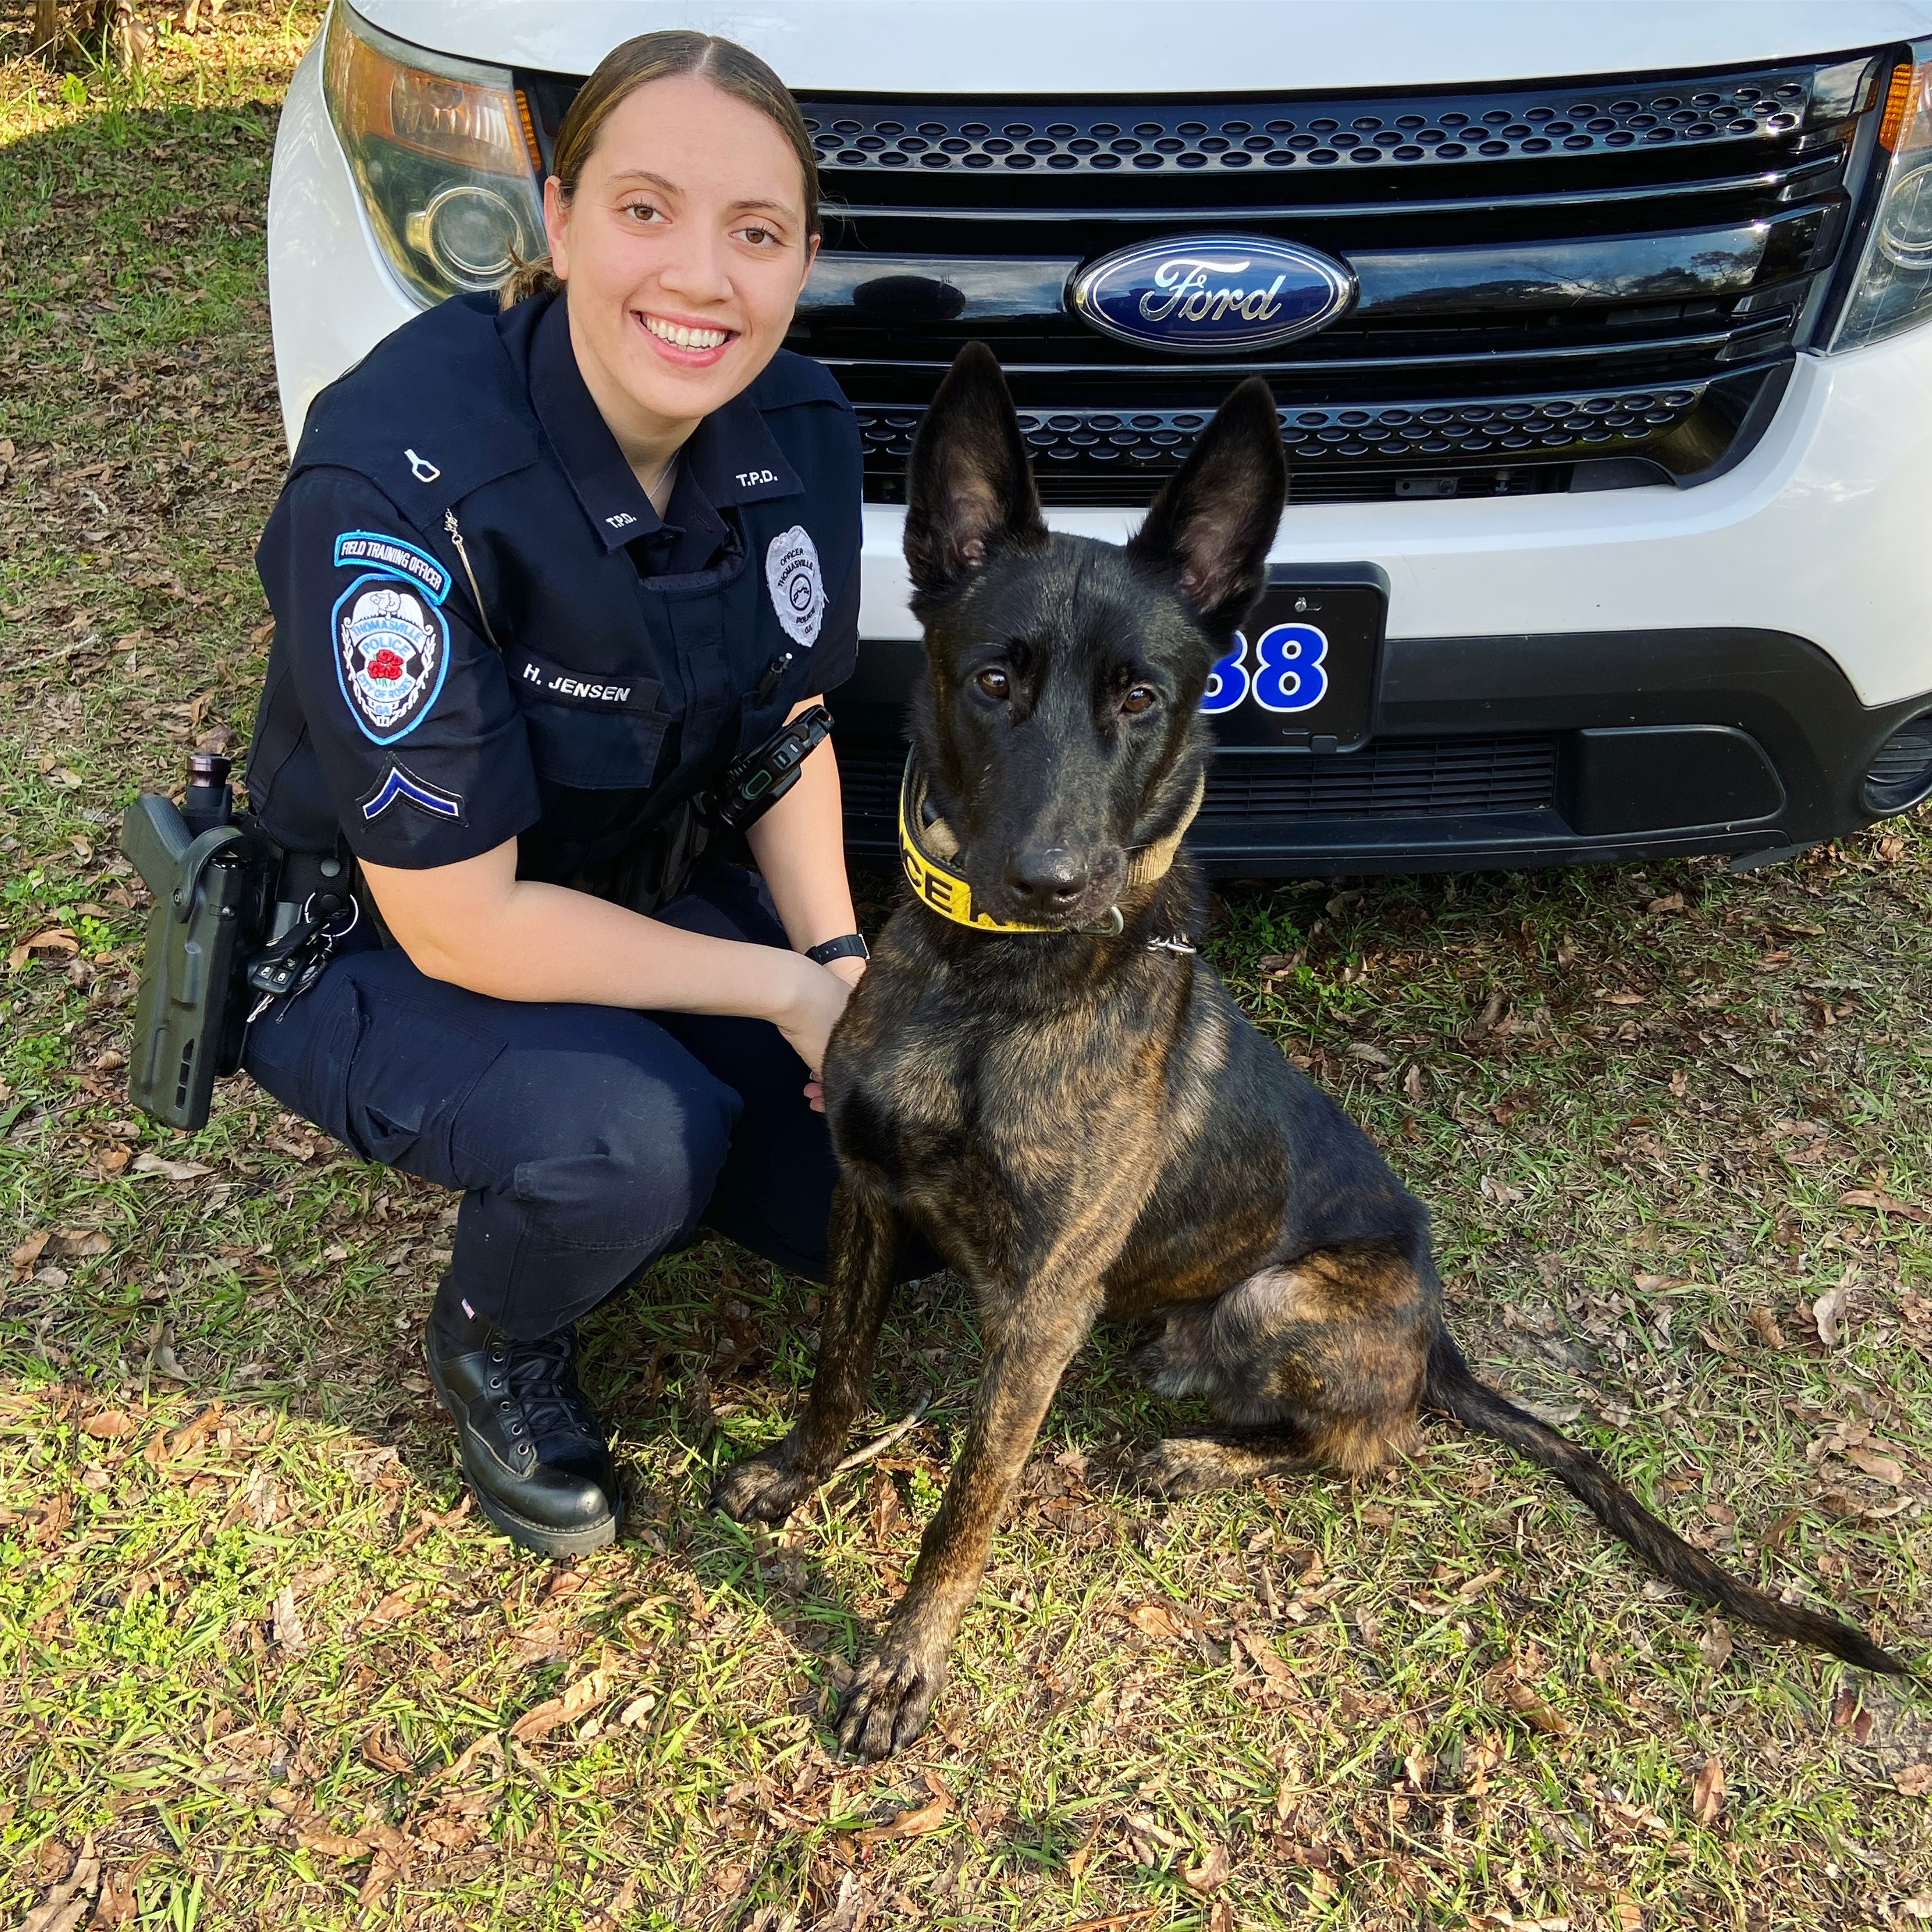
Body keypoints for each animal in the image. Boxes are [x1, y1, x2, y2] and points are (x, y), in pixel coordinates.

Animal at [714, 340, 1901, 1761]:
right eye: (992, 679)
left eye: (1142, 698)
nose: (1055, 882)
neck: (987, 992)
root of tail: (1437, 1340)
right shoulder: (868, 1199)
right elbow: (837, 1367)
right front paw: (799, 1469)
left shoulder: (1042, 1309)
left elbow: (968, 1503)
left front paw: (904, 1662)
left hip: (1278, 1299)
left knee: (1367, 1446)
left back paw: (1200, 1453)